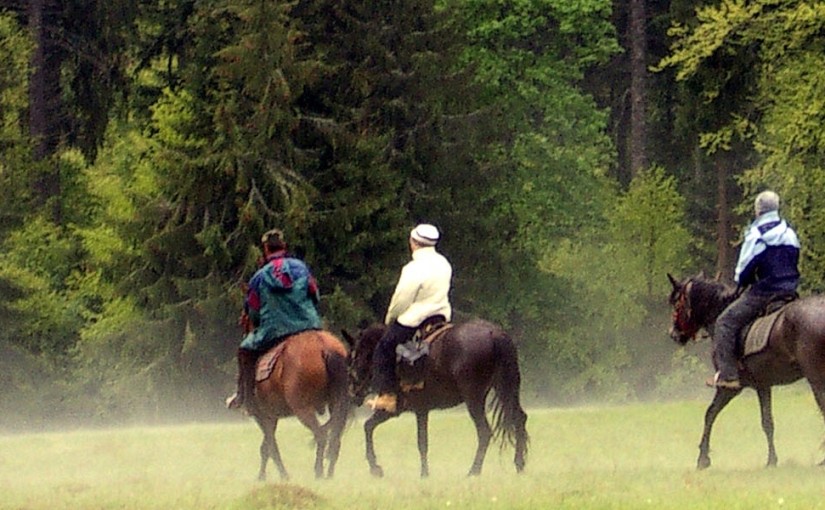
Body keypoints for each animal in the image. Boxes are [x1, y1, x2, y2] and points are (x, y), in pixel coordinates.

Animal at [244, 329, 350, 480]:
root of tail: (325, 347)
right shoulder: (271, 416)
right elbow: (267, 446)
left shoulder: (263, 416)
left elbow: (269, 446)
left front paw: (275, 476)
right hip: (335, 404)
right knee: (335, 438)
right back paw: (329, 474)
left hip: (302, 409)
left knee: (321, 435)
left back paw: (318, 472)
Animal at [344, 318, 529, 478]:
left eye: (353, 360)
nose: (352, 394)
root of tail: (493, 334)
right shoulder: (418, 410)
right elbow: (419, 441)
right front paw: (422, 473)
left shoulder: (398, 408)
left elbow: (372, 428)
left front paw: (377, 468)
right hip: (506, 389)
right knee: (519, 419)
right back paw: (519, 465)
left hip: (474, 399)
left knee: (484, 432)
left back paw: (473, 471)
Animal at [667, 272, 825, 469]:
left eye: (676, 303)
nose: (673, 334)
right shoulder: (763, 385)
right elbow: (767, 422)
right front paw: (771, 460)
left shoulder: (729, 387)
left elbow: (710, 413)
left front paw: (703, 458)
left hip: (816, 379)